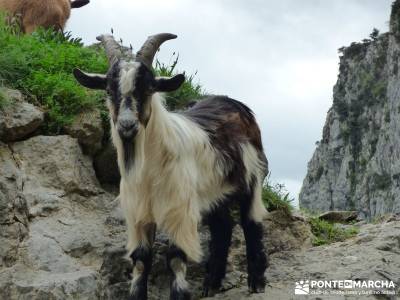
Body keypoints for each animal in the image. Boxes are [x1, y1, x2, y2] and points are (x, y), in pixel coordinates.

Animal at [74, 33, 270, 300]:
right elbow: (140, 260)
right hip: (213, 191)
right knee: (223, 229)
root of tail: (235, 103)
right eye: (108, 89)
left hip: (252, 178)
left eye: (148, 88)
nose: (126, 126)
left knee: (251, 223)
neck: (149, 167)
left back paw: (256, 283)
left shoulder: (180, 208)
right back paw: (211, 285)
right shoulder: (139, 212)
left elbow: (176, 258)